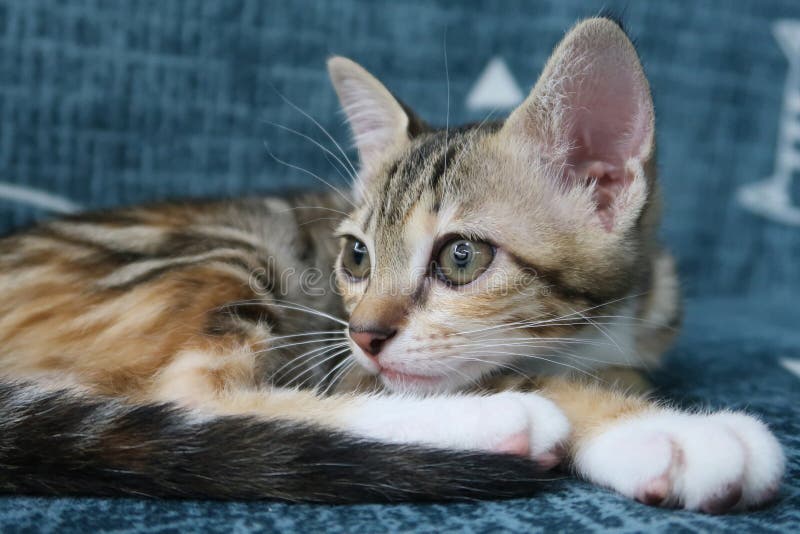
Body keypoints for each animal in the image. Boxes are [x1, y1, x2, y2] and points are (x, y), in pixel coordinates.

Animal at [0, 15, 784, 510]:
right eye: (356, 256)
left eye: (462, 257)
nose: (366, 333)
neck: (597, 331)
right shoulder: (342, 357)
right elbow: (505, 371)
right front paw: (665, 430)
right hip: (227, 248)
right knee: (192, 398)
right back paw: (501, 421)